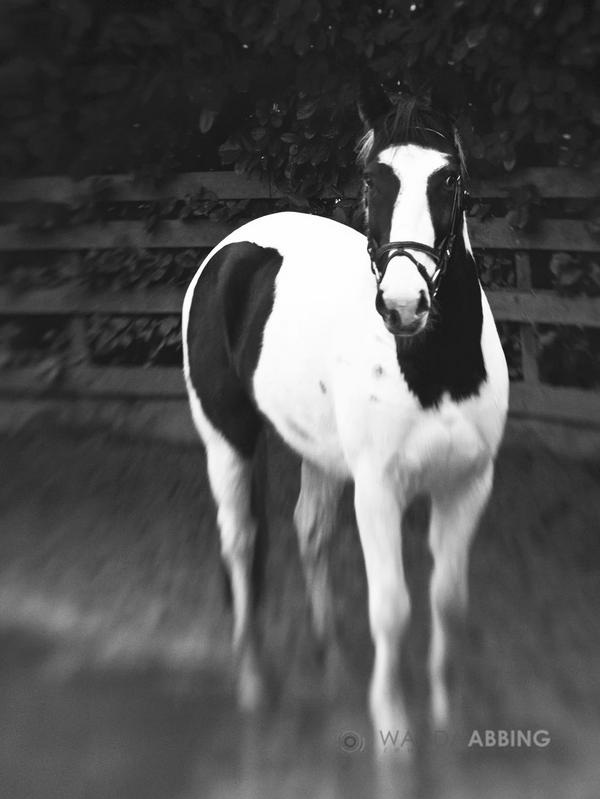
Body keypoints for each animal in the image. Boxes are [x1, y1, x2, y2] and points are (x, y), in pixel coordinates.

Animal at [181, 80, 509, 746]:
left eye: (450, 179)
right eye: (371, 179)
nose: (403, 305)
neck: (436, 372)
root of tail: (230, 252)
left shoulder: (468, 485)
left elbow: (448, 602)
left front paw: (448, 720)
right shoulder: (379, 490)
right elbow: (392, 608)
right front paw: (394, 731)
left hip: (321, 452)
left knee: (310, 531)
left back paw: (329, 662)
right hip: (226, 441)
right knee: (241, 542)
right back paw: (254, 685)